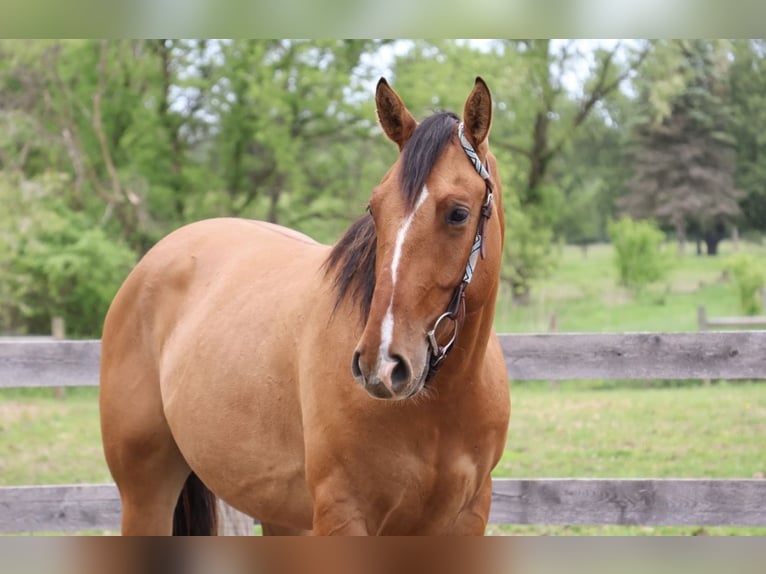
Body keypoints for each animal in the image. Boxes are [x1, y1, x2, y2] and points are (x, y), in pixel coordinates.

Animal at [99, 77, 510, 535]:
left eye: (458, 213)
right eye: (375, 208)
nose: (382, 364)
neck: (439, 410)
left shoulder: (467, 516)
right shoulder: (341, 514)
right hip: (146, 495)